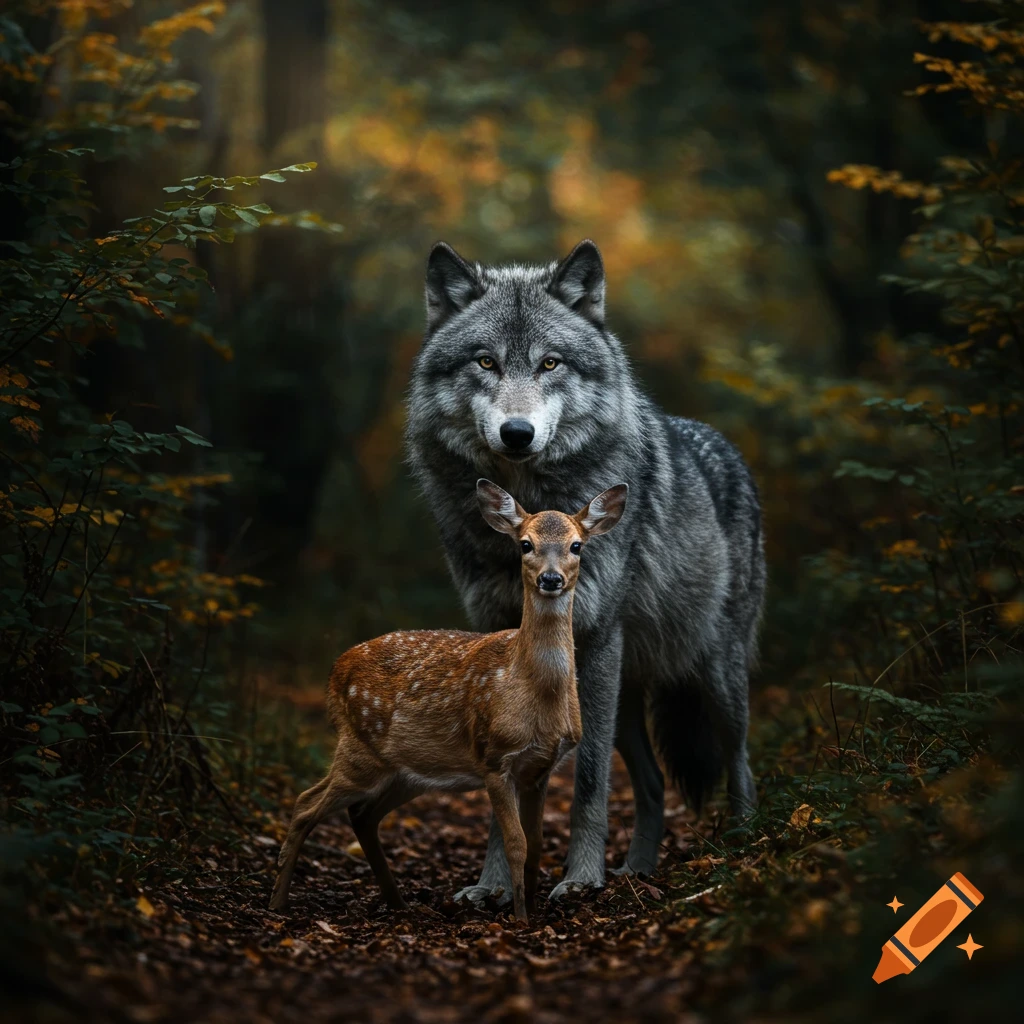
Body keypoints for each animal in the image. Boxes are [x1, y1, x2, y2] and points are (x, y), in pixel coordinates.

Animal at [269, 478, 628, 923]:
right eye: (525, 544)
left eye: (576, 545)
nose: (550, 578)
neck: (534, 694)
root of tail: (336, 671)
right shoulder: (495, 758)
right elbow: (516, 844)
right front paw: (520, 919)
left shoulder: (539, 769)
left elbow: (537, 846)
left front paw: (533, 912)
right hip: (359, 752)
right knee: (305, 803)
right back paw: (277, 902)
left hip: (407, 772)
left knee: (362, 814)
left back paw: (398, 902)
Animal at [405, 239, 765, 902]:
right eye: (486, 362)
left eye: (550, 363)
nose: (517, 433)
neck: (531, 504)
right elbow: (508, 788)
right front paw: (496, 884)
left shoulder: (597, 642)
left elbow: (590, 780)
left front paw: (579, 879)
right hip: (627, 696)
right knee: (653, 784)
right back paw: (636, 871)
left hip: (710, 678)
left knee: (740, 763)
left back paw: (743, 848)